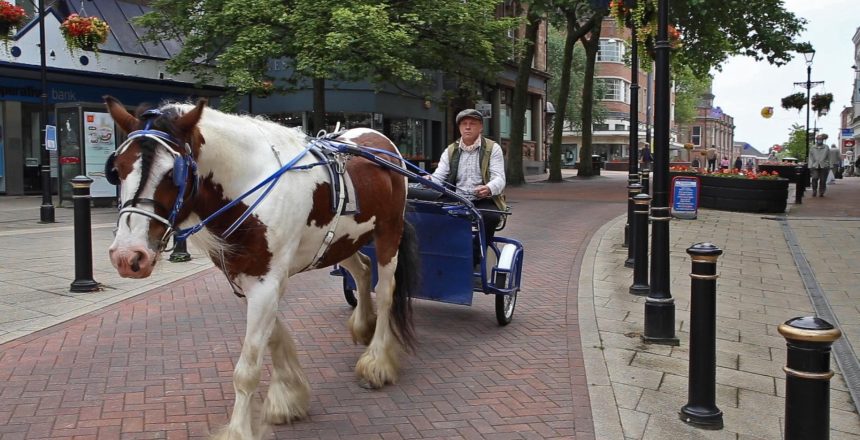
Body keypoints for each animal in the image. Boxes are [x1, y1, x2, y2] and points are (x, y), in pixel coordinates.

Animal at [103, 96, 420, 439]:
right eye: (117, 169)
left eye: (172, 174)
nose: (128, 256)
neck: (250, 185)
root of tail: (380, 139)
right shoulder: (246, 279)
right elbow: (273, 337)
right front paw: (288, 395)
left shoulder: (266, 282)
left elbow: (248, 367)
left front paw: (240, 429)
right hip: (343, 240)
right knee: (362, 270)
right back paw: (363, 325)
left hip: (389, 232)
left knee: (385, 291)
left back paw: (377, 361)